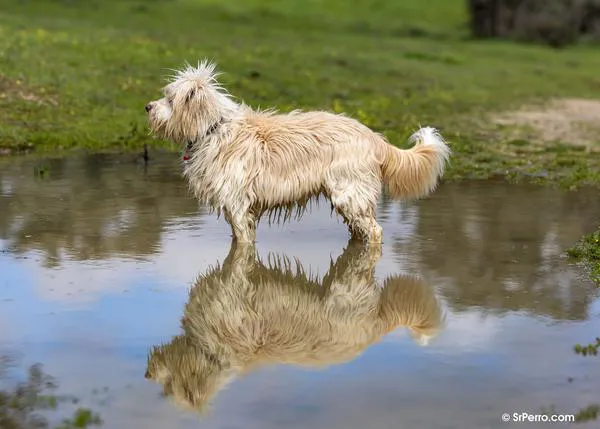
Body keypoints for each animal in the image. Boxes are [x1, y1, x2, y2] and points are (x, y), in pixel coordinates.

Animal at [146, 60, 450, 242]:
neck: (213, 129)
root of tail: (372, 137)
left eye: (169, 99)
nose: (148, 106)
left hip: (350, 193)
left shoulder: (238, 205)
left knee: (374, 231)